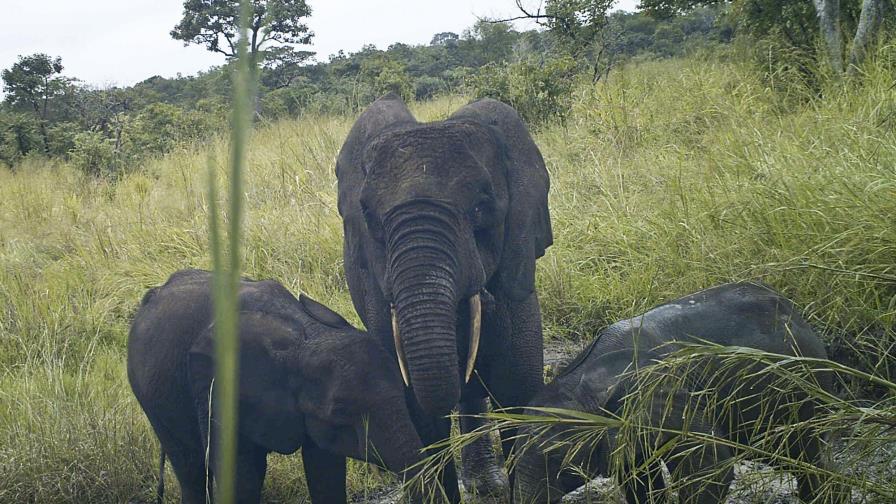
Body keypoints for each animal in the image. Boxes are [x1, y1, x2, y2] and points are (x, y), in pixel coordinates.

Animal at [127, 269, 425, 504]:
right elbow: (241, 476)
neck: (307, 335)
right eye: (340, 411)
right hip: (154, 398)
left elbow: (325, 469)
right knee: (191, 470)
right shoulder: (217, 390)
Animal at [512, 282, 846, 504]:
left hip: (802, 385)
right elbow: (638, 478)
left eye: (558, 458)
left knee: (801, 453)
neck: (583, 377)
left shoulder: (670, 393)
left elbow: (709, 468)